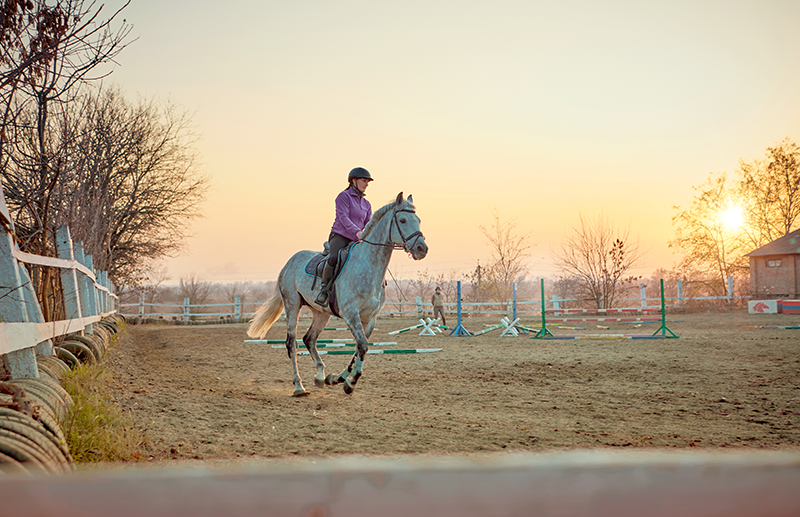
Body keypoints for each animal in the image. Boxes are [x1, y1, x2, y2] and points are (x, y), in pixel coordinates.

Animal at [247, 192, 428, 396]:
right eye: (403, 220)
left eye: (418, 220)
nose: (422, 249)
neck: (369, 266)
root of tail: (289, 262)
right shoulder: (351, 314)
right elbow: (362, 345)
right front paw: (350, 383)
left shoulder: (369, 318)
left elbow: (360, 348)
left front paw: (337, 378)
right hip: (292, 305)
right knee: (292, 343)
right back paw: (299, 386)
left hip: (321, 313)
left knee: (309, 339)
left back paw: (319, 376)